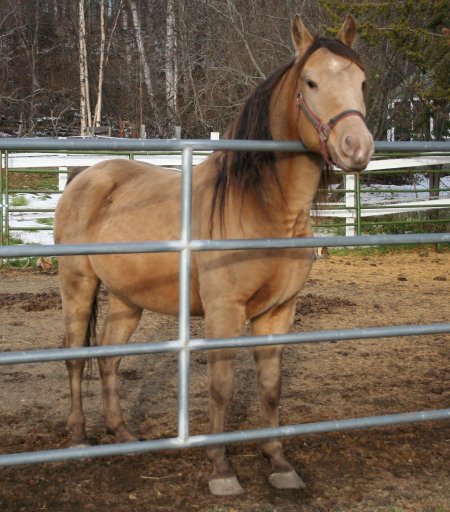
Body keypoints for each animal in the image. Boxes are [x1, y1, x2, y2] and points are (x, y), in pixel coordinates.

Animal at [55, 14, 372, 496]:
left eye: (362, 81)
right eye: (311, 82)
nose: (358, 147)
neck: (263, 207)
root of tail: (85, 177)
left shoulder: (279, 312)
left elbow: (270, 387)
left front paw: (279, 463)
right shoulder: (225, 311)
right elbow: (221, 387)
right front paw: (222, 470)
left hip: (128, 299)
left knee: (109, 356)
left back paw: (123, 434)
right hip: (78, 285)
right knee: (76, 356)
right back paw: (76, 437)